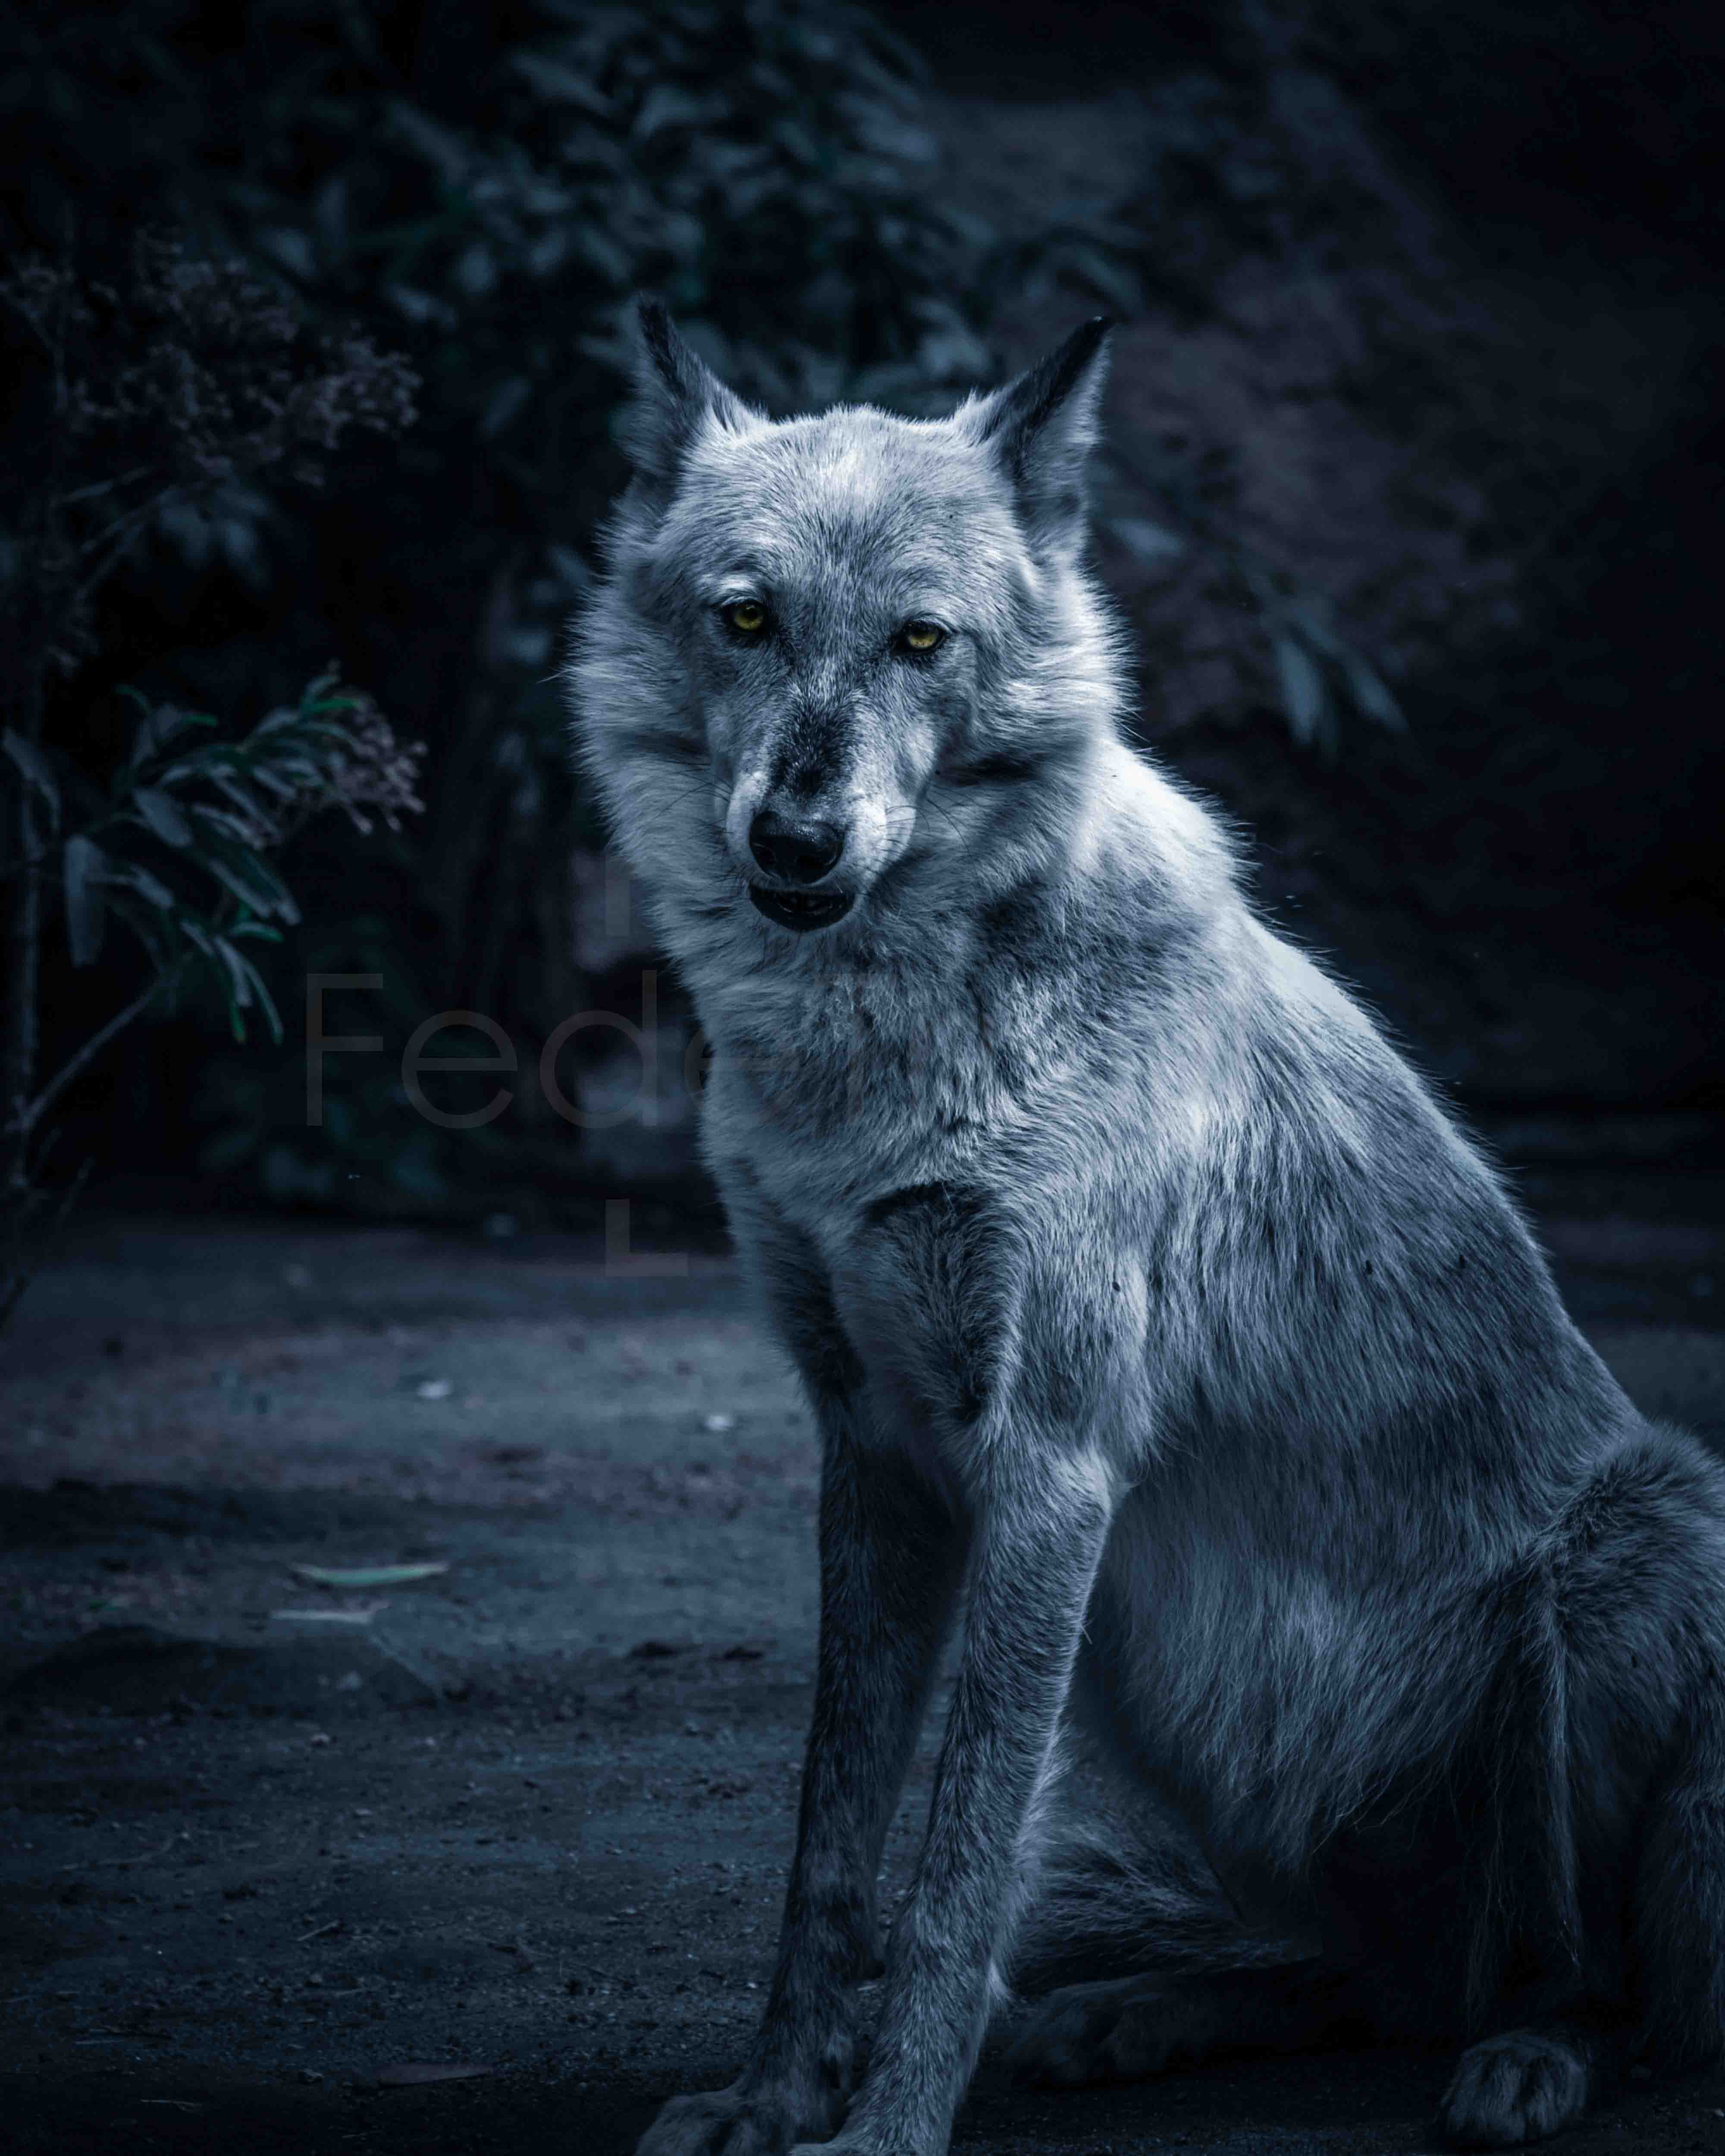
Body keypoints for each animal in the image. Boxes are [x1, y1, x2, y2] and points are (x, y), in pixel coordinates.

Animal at [571, 298, 1725, 2154]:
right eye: (746, 619)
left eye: (919, 642)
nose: (797, 838)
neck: (877, 1060)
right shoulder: (875, 1454)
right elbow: (836, 1852)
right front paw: (773, 2094)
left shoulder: (1048, 1469)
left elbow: (953, 1871)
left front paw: (884, 2128)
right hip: (1160, 1681)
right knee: (1373, 1973)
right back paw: (1133, 2018)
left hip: (1631, 1557)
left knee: (1589, 1978)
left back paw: (1525, 2062)